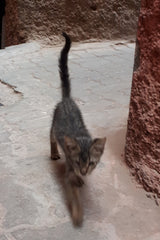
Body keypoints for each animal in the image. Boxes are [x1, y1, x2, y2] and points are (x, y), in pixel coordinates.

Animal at [50, 32, 105, 225]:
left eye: (90, 163)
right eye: (77, 162)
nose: (83, 171)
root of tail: (67, 99)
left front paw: (80, 179)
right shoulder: (68, 171)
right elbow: (73, 193)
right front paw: (78, 213)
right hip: (54, 124)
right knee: (51, 137)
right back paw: (54, 152)